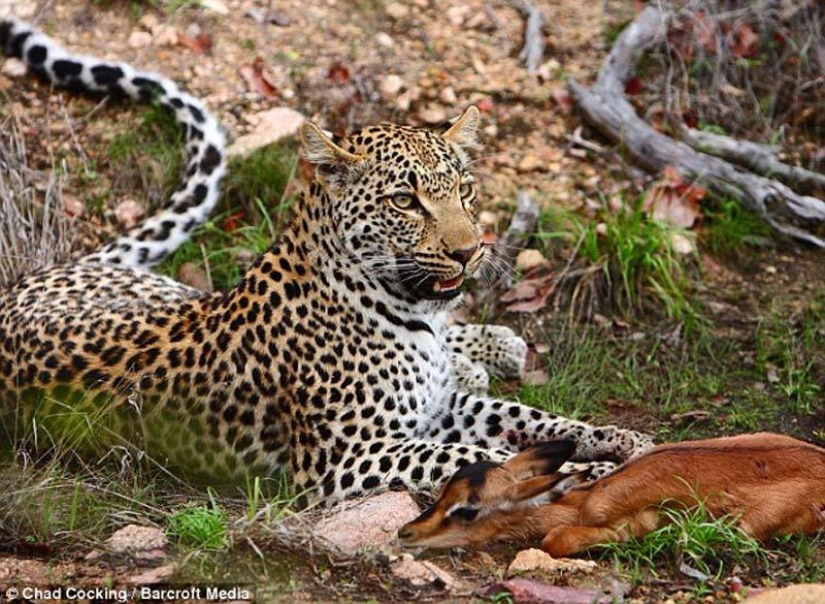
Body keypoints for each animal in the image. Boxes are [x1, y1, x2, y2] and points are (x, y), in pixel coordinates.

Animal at [0, 18, 653, 505]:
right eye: (405, 200)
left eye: (464, 191)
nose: (468, 252)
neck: (409, 313)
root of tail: (24, 283)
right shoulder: (350, 459)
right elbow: (479, 458)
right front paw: (585, 475)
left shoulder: (442, 406)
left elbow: (534, 419)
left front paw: (624, 441)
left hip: (167, 293)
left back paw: (489, 347)